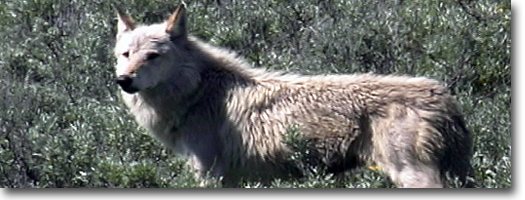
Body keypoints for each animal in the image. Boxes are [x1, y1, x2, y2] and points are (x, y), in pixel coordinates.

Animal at [112, 4, 472, 188]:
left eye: (153, 56)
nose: (123, 80)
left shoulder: (210, 175)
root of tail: (445, 97)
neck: (198, 91)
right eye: (125, 54)